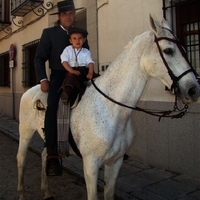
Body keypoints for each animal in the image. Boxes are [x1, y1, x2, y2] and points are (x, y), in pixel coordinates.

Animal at [17, 16, 200, 200]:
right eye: (169, 50)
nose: (193, 90)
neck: (112, 110)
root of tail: (31, 91)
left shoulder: (115, 162)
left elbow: (109, 193)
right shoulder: (90, 165)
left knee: (44, 155)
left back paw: (47, 191)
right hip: (25, 133)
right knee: (21, 159)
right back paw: (22, 194)